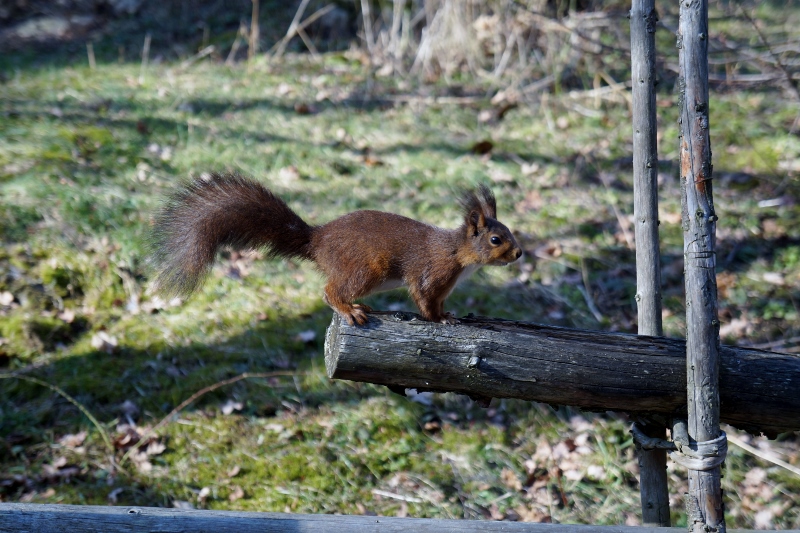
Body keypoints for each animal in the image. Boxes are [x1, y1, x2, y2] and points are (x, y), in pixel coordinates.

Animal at [152, 172, 520, 326]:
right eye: (495, 240)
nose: (519, 254)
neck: (459, 253)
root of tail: (317, 240)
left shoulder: (446, 286)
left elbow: (440, 302)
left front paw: (448, 314)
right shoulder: (433, 273)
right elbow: (425, 299)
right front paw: (439, 320)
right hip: (366, 268)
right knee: (330, 291)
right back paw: (348, 309)